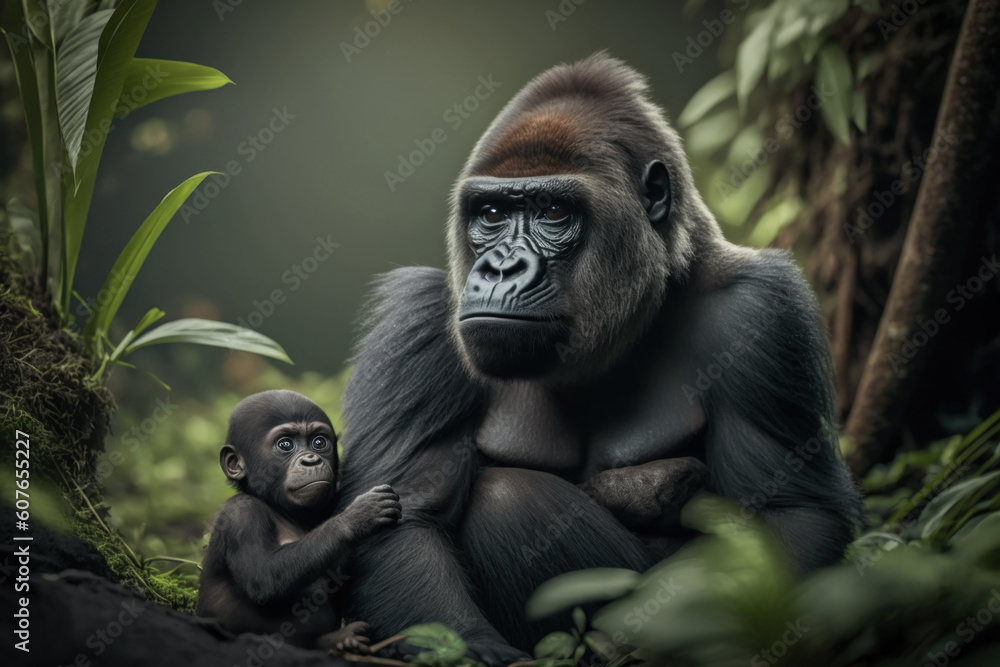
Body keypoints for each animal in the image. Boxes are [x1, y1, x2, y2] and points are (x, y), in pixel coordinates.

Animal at [197, 390, 401, 653]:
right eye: (285, 444)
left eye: (319, 442)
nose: (311, 459)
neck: (279, 508)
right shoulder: (241, 514)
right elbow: (262, 576)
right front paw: (356, 518)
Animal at [337, 53, 863, 664]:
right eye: (490, 213)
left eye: (553, 210)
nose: (498, 268)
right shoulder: (421, 321)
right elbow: (403, 518)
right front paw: (471, 647)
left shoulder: (761, 311)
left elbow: (794, 516)